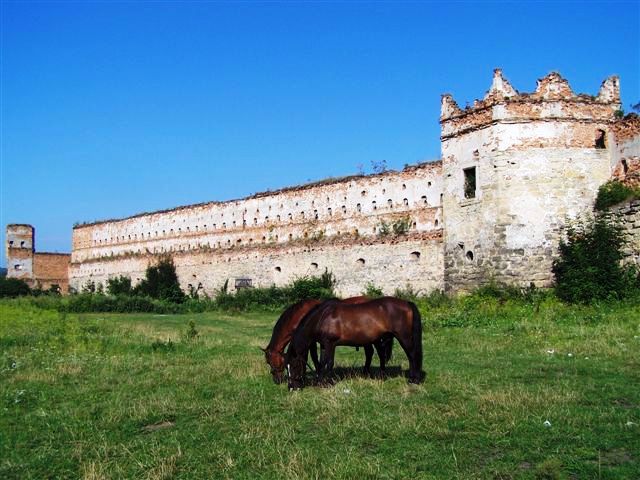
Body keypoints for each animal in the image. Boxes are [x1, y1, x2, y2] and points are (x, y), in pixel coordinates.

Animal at [262, 296, 392, 382]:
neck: (301, 315)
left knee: (377, 353)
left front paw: (311, 374)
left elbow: (312, 357)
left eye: (270, 361)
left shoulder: (310, 342)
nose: (276, 380)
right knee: (370, 352)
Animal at [288, 296, 422, 390]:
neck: (323, 317)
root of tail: (407, 303)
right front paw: (320, 382)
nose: (291, 387)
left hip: (404, 337)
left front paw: (329, 383)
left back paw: (414, 379)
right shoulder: (324, 345)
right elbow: (321, 363)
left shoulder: (331, 343)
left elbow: (329, 363)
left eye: (293, 366)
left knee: (412, 355)